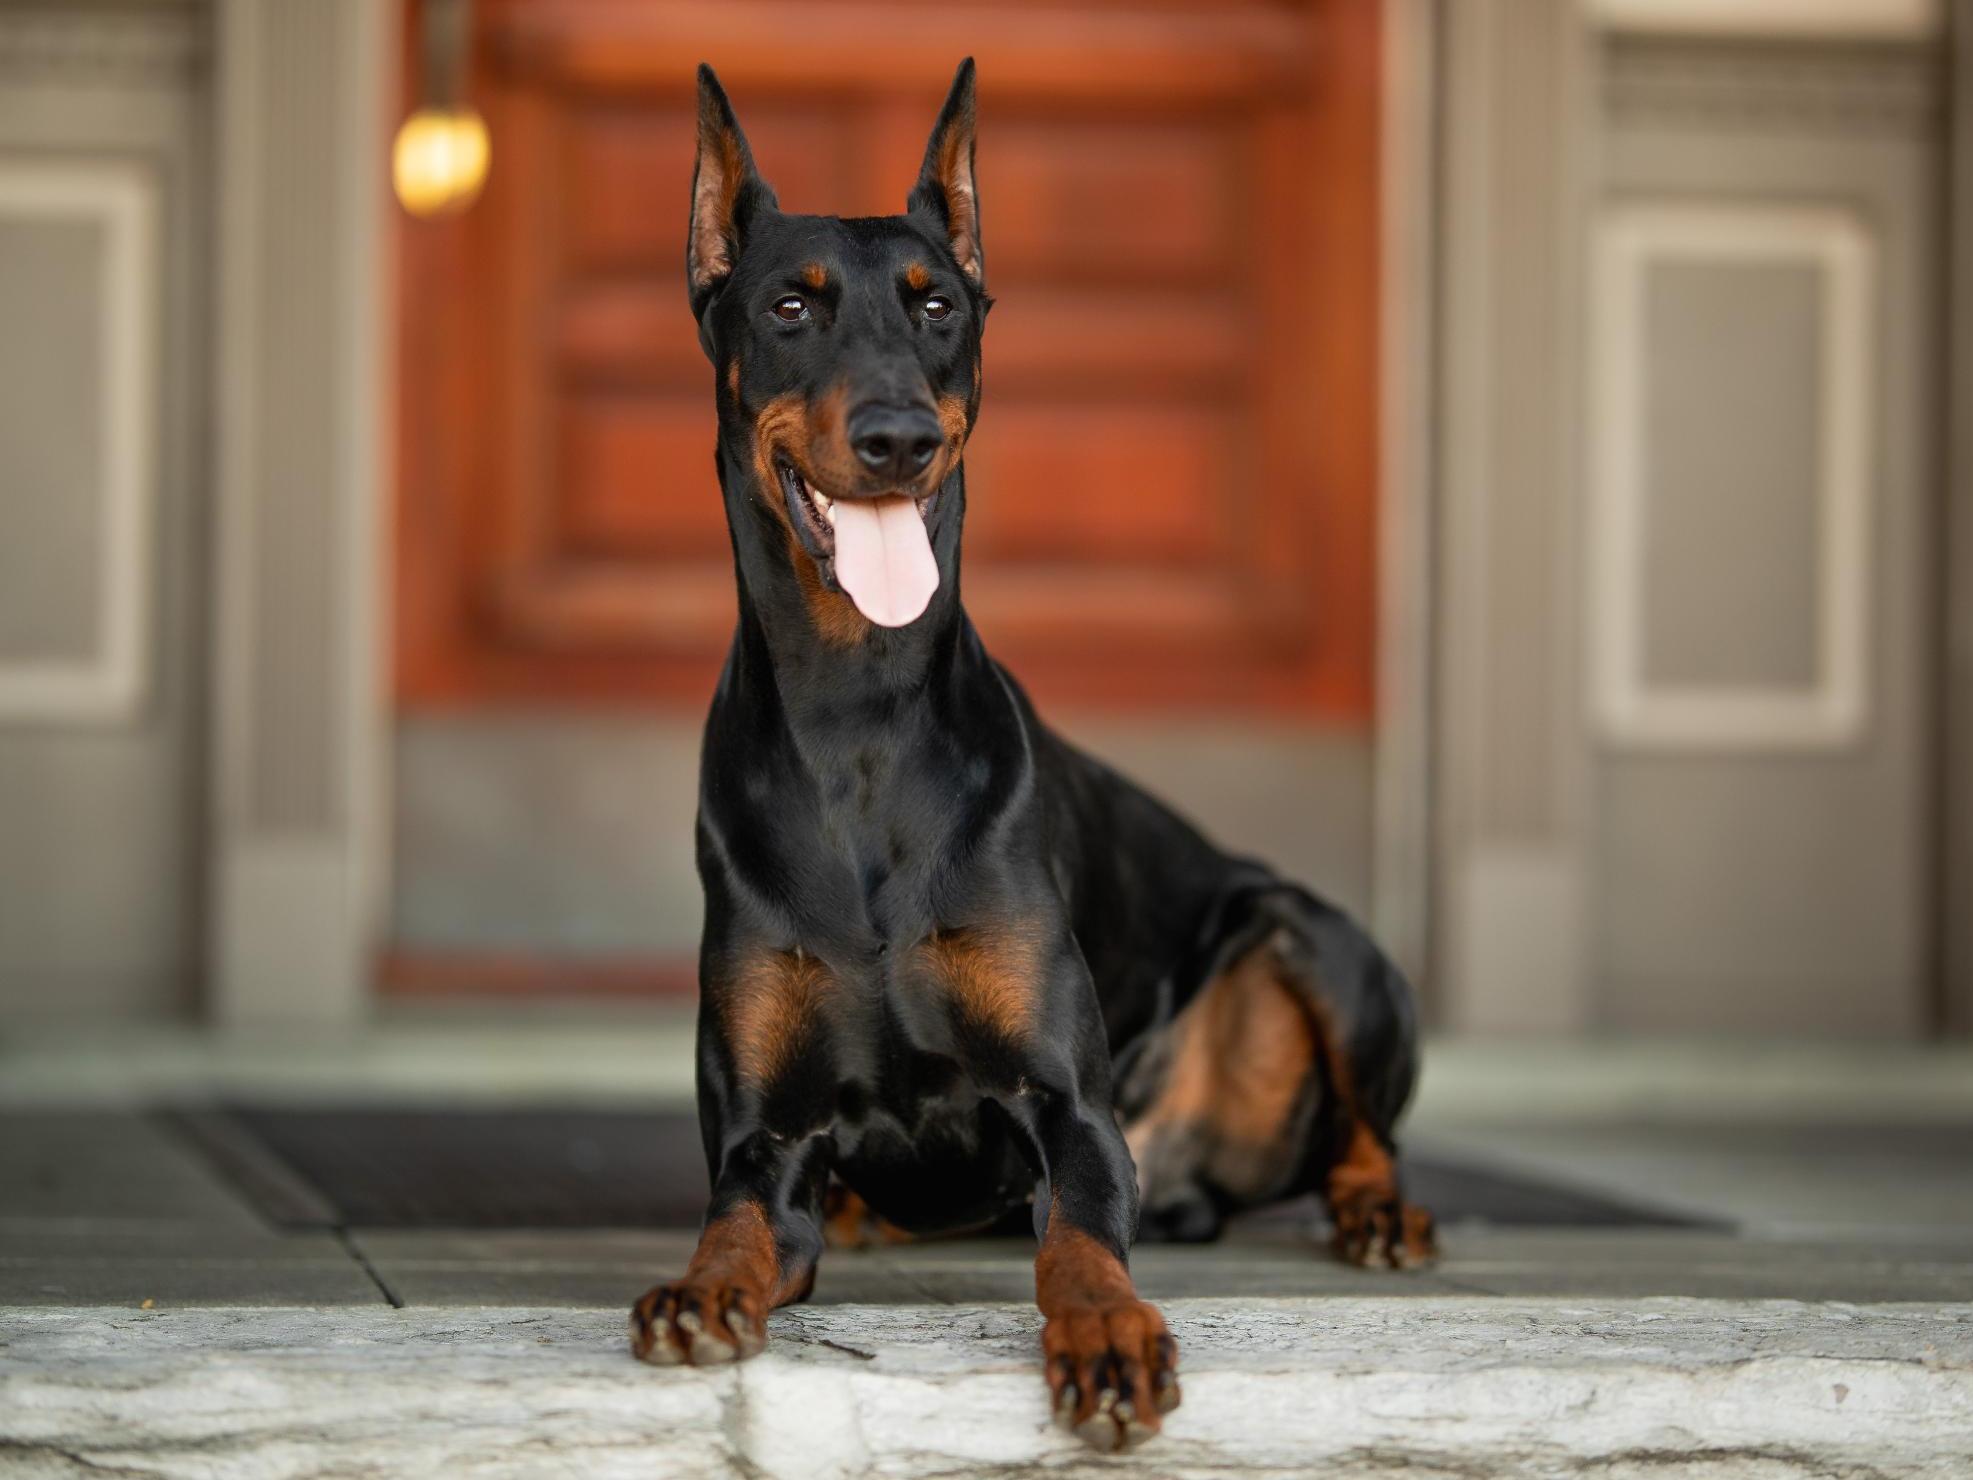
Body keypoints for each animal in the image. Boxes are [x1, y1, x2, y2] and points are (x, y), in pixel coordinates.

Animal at [631, 57, 1436, 1452]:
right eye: (788, 305)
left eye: (937, 304)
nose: (898, 435)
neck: (857, 718)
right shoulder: (763, 1139)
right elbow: (737, 1223)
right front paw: (696, 1288)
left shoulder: (1072, 1116)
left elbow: (1078, 1249)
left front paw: (1107, 1337)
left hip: (1309, 935)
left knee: (1363, 1132)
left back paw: (1378, 1210)